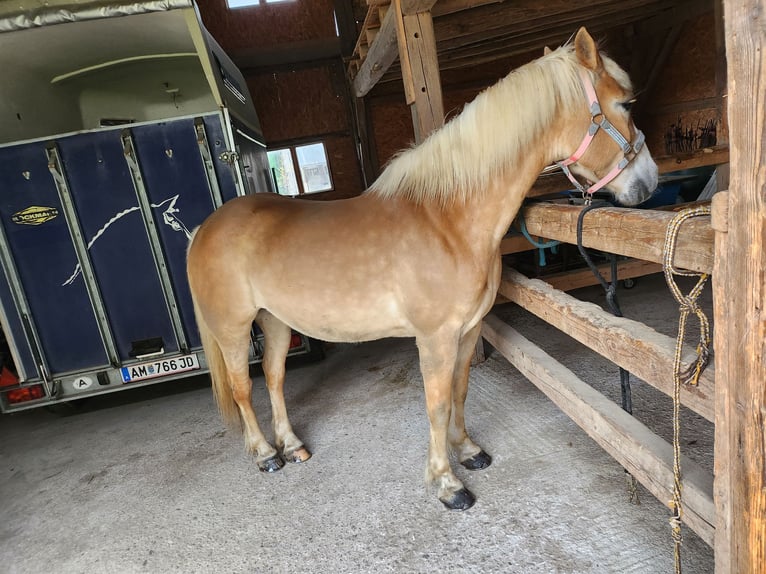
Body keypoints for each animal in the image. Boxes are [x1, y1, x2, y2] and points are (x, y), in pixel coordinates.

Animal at [188, 28, 660, 512]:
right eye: (624, 104)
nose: (649, 181)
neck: (448, 219)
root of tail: (205, 228)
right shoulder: (436, 337)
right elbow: (436, 404)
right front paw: (448, 484)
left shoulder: (469, 330)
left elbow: (460, 390)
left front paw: (468, 451)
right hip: (233, 329)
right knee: (243, 388)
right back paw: (266, 455)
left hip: (277, 321)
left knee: (274, 378)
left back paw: (293, 446)